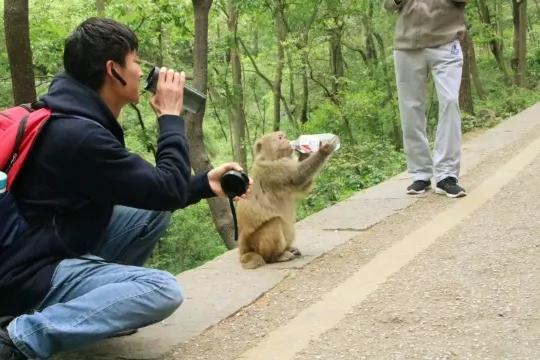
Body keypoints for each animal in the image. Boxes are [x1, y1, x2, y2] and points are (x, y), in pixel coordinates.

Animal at [237, 131, 336, 268]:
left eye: (284, 136)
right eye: (280, 137)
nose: (287, 140)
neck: (271, 158)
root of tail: (245, 249)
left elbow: (302, 185)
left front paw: (304, 152)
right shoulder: (271, 169)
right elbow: (297, 177)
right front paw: (324, 149)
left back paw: (289, 249)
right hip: (257, 245)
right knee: (274, 223)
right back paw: (277, 256)